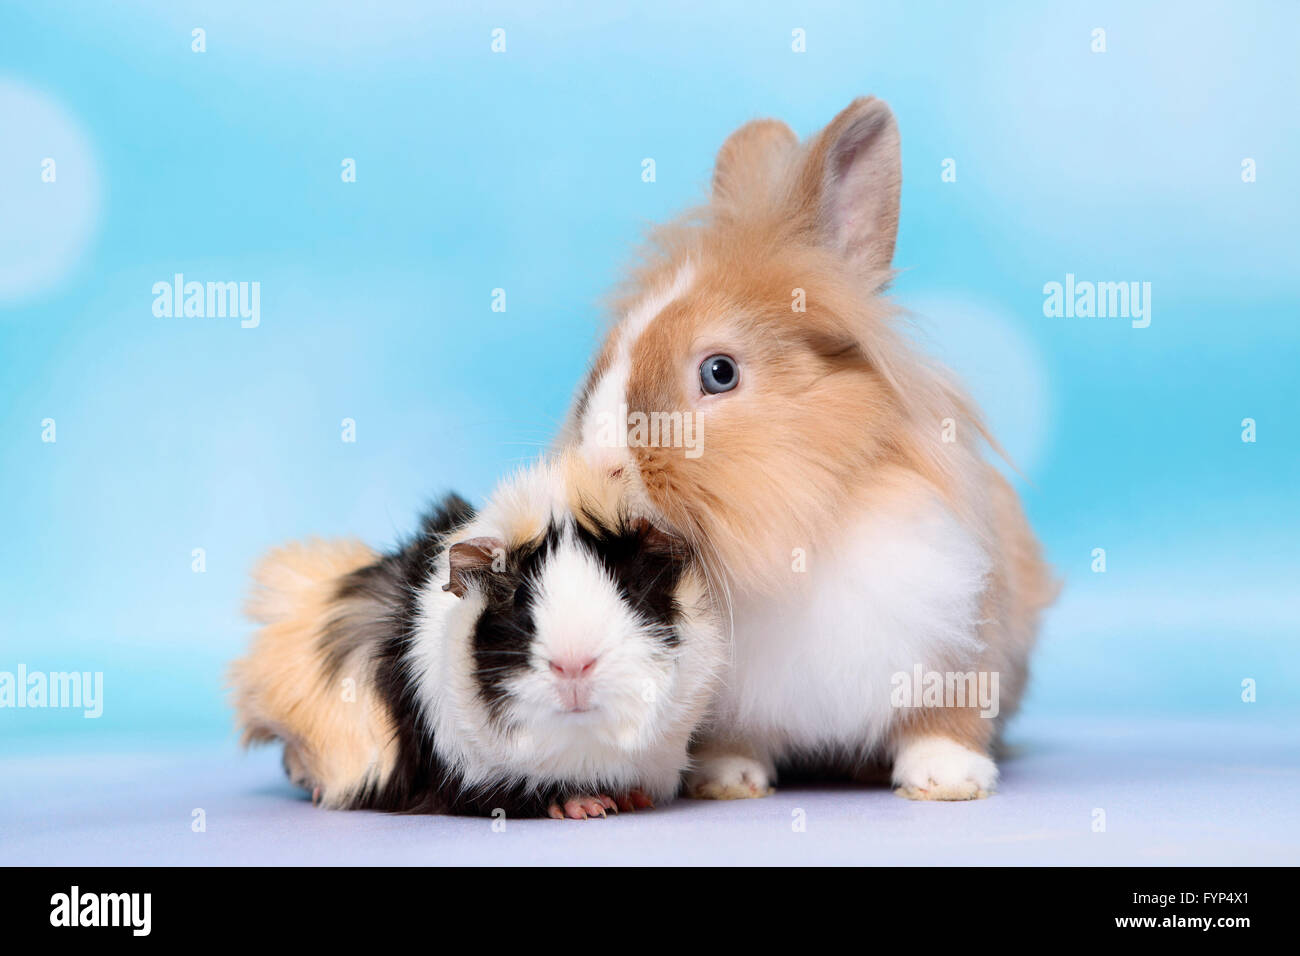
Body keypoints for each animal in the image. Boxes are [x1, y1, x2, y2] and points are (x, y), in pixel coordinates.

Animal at [557, 97, 1058, 801]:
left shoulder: (962, 638)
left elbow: (944, 718)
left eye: (718, 372)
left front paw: (947, 778)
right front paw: (728, 778)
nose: (604, 465)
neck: (797, 532)